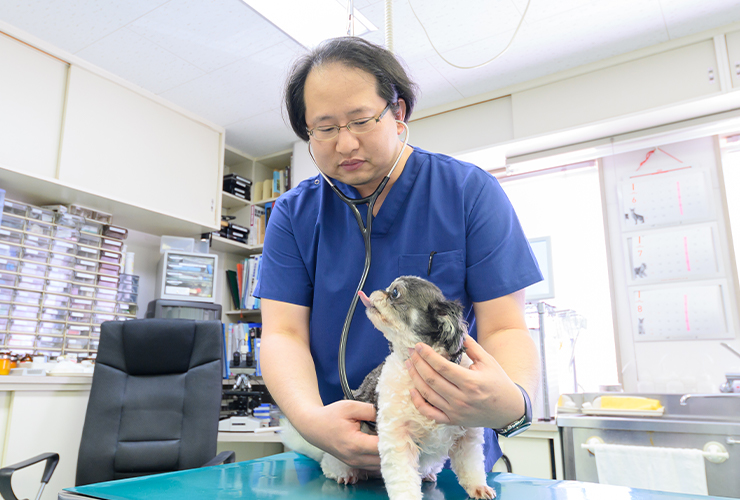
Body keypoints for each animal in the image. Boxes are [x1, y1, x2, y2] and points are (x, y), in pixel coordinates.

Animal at [280, 276, 494, 500]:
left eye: (395, 293)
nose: (376, 291)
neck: (413, 367)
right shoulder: (398, 437)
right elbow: (403, 479)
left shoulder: (468, 436)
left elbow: (470, 465)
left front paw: (478, 487)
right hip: (338, 456)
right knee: (329, 466)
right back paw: (345, 474)